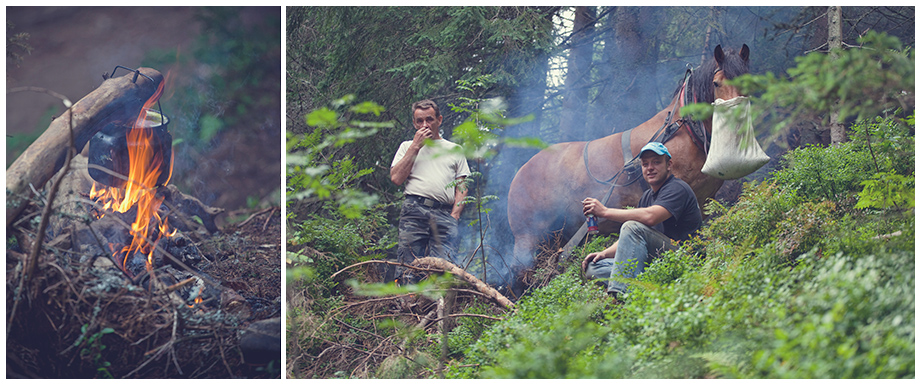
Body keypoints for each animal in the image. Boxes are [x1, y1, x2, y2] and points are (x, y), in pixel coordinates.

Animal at [506, 44, 752, 276]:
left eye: (748, 79)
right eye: (717, 83)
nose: (739, 117)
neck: (685, 131)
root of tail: (519, 172)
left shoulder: (704, 201)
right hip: (528, 238)